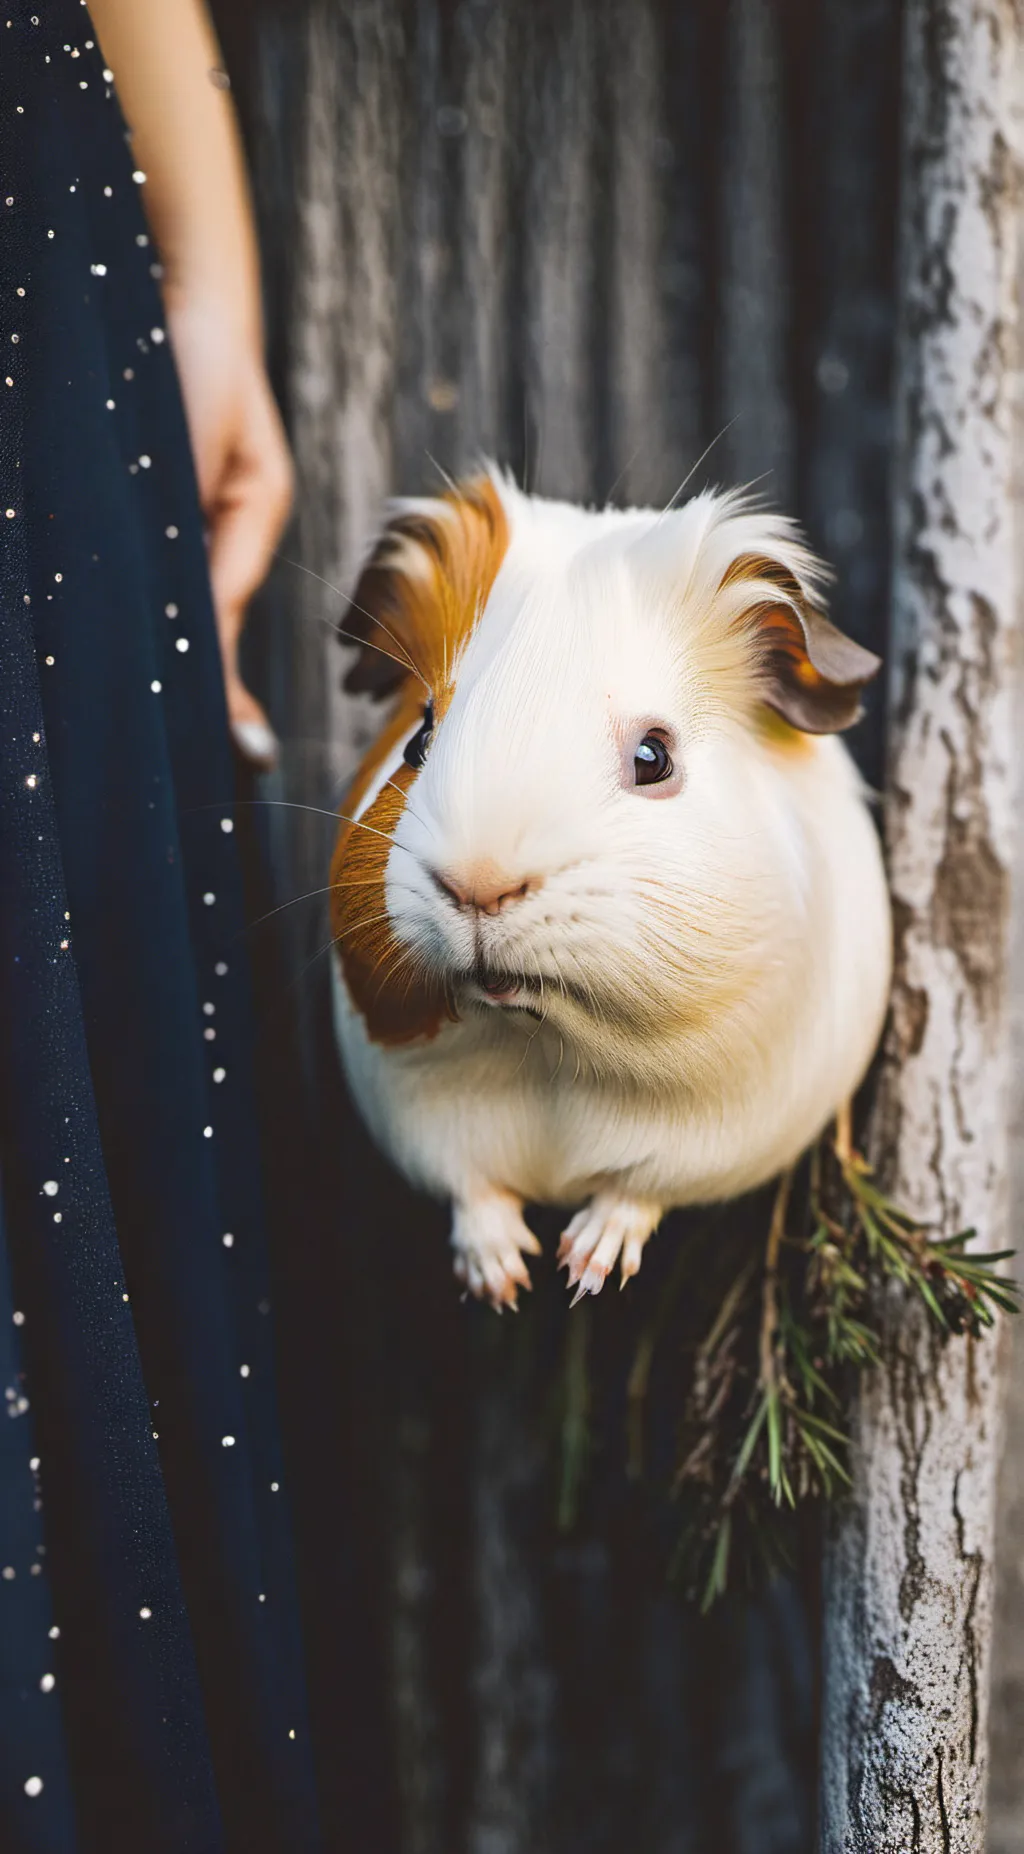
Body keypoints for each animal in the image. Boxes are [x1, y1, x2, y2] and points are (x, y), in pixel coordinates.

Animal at [330, 468, 892, 1309]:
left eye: (655, 757)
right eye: (419, 738)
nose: (479, 885)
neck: (543, 1050)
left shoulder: (706, 1141)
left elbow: (636, 1192)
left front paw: (584, 1271)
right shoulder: (421, 1121)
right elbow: (473, 1193)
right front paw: (505, 1280)